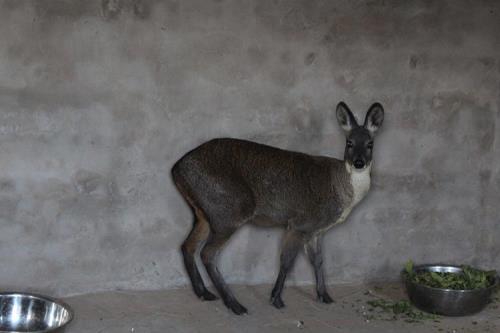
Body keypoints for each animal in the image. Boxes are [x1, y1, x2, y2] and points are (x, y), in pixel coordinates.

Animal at [171, 102, 382, 314]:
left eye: (370, 144)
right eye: (349, 142)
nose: (359, 162)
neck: (341, 191)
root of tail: (175, 170)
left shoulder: (316, 230)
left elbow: (318, 260)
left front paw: (325, 296)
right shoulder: (300, 222)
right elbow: (287, 261)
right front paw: (276, 299)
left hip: (204, 213)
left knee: (188, 245)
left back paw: (204, 293)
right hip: (230, 209)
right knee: (208, 253)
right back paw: (235, 304)